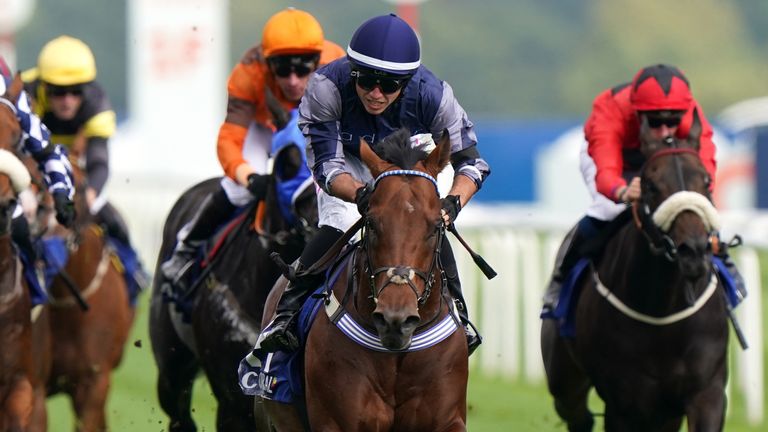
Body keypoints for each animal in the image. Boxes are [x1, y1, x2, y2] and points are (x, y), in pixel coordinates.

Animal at [544, 119, 728, 432]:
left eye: (706, 181)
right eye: (651, 186)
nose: (693, 251)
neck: (662, 311)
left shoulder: (707, 393)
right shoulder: (624, 403)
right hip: (564, 377)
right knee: (576, 412)